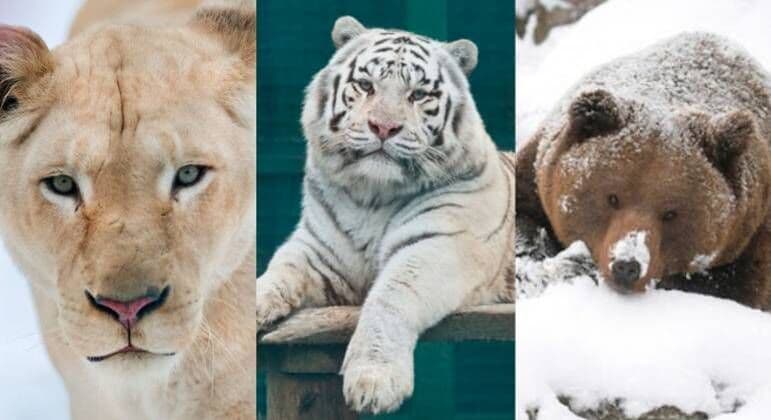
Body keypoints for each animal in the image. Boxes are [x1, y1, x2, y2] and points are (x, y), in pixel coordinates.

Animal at [256, 16, 515, 414]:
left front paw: (373, 381)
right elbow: (277, 273)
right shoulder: (317, 251)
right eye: (366, 85)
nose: (383, 127)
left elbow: (389, 298)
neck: (372, 197)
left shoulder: (440, 245)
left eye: (419, 94)